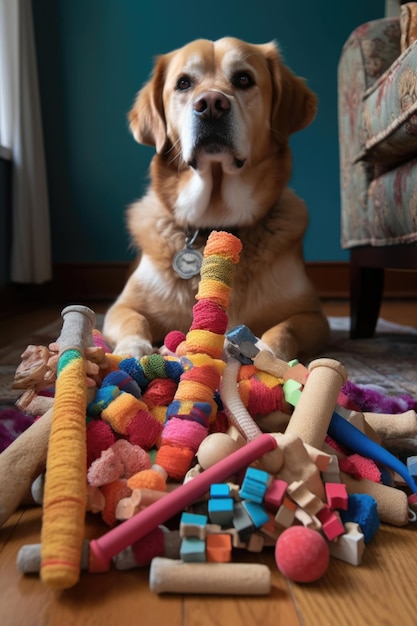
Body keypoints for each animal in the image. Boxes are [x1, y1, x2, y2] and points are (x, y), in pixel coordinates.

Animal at [103, 37, 328, 360]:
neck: (215, 219)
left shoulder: (313, 316)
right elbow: (134, 321)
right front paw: (135, 351)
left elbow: (283, 330)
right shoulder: (122, 307)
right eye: (183, 83)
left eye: (244, 79)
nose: (210, 104)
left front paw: (268, 355)